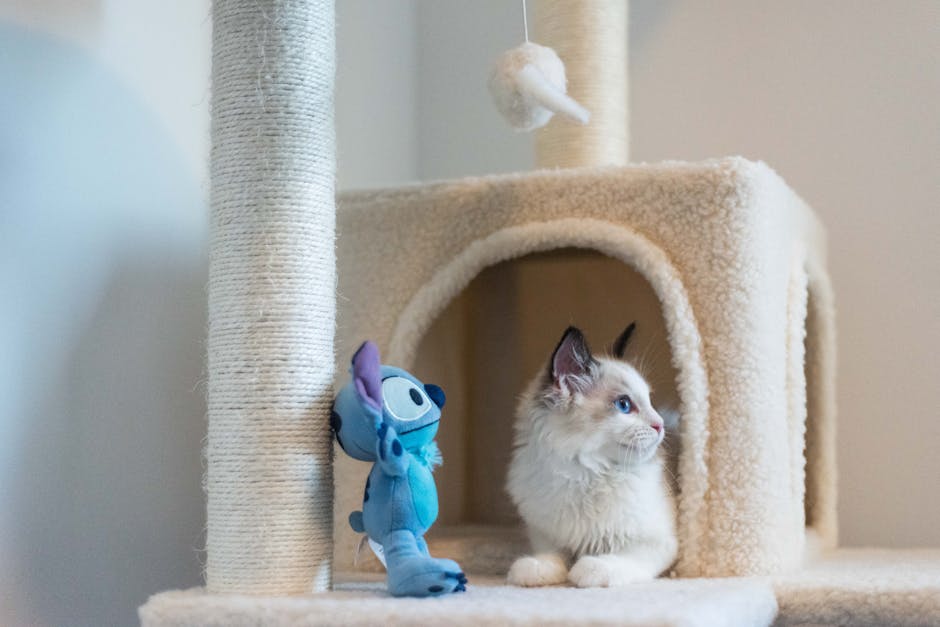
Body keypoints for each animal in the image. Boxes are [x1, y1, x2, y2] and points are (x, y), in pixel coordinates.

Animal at [506, 324, 676, 588]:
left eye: (650, 402)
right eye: (624, 405)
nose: (660, 425)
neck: (586, 473)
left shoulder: (659, 541)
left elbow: (620, 558)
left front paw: (590, 569)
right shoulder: (545, 533)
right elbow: (552, 555)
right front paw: (535, 569)